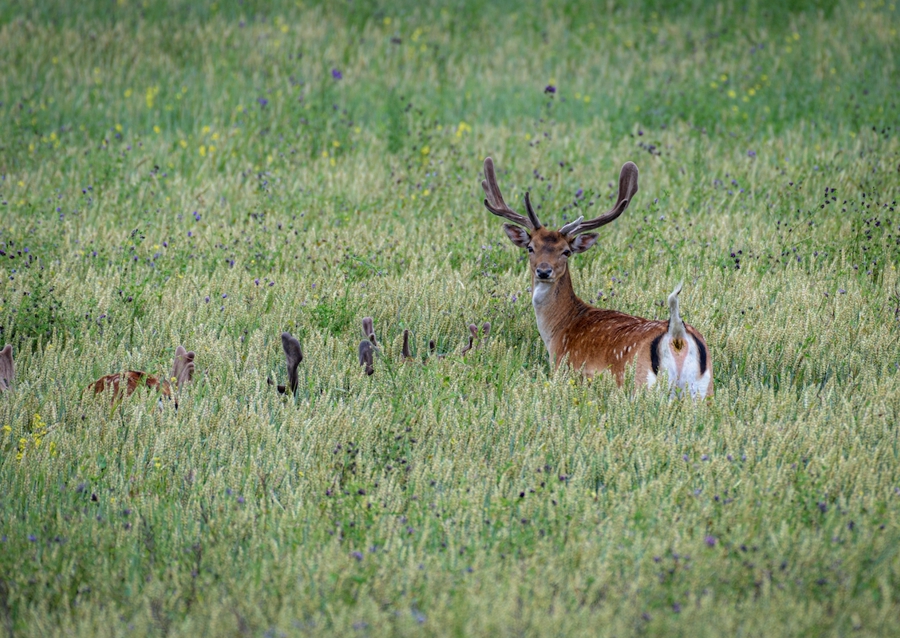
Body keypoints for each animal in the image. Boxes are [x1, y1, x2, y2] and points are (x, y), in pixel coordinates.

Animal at [481, 157, 712, 398]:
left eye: (566, 251)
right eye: (530, 247)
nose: (544, 271)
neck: (558, 329)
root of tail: (677, 336)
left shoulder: (561, 368)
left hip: (640, 385)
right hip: (703, 389)